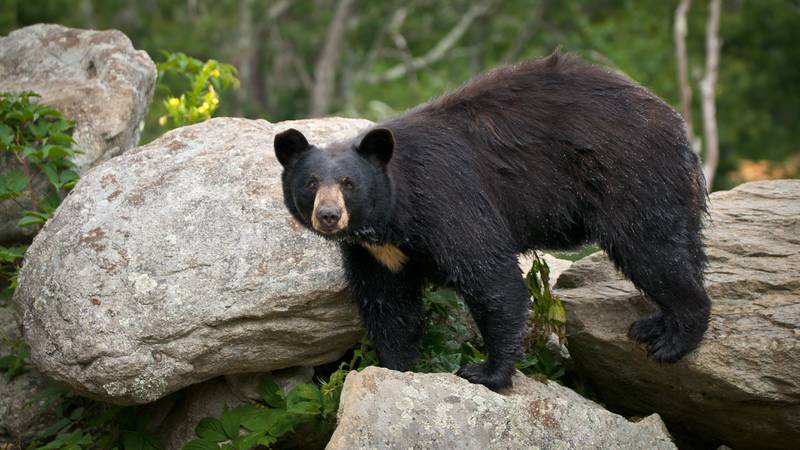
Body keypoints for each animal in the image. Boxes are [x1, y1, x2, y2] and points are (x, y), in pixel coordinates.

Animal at [272, 52, 708, 390]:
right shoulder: (375, 252)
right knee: (681, 247)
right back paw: (655, 323)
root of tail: (676, 123)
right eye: (311, 183)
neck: (393, 217)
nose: (329, 216)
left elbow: (490, 277)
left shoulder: (447, 199)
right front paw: (396, 366)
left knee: (650, 250)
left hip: (629, 176)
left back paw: (674, 339)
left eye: (349, 183)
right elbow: (388, 304)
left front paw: (486, 372)